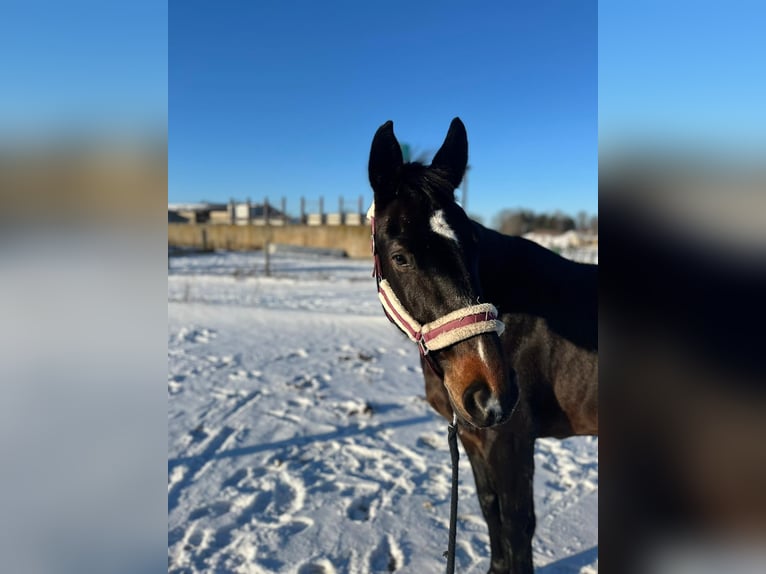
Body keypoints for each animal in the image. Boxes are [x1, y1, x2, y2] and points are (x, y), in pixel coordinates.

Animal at [367, 118, 598, 574]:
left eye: (474, 243)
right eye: (400, 257)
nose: (492, 393)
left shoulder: (511, 443)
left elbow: (517, 526)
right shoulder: (477, 441)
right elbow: (491, 513)